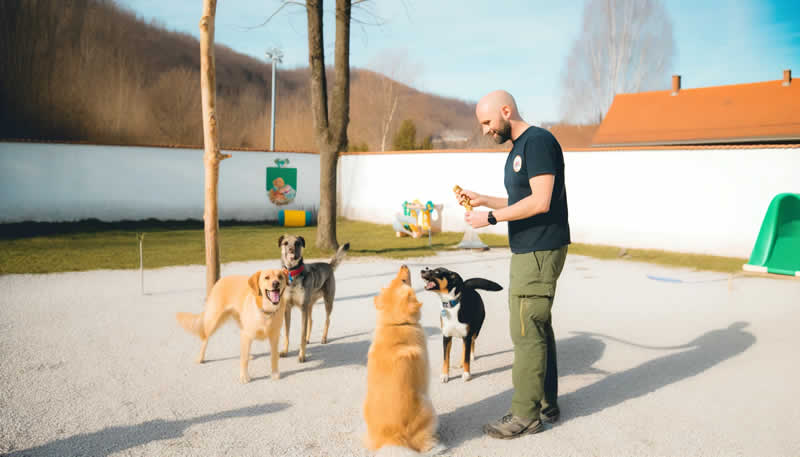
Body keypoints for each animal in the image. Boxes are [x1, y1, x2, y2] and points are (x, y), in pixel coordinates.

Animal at [278, 233, 346, 362]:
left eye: (297, 243)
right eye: (285, 243)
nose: (291, 250)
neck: (292, 273)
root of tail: (328, 265)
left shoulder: (303, 308)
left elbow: (302, 335)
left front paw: (302, 355)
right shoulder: (287, 309)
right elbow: (287, 333)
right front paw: (284, 351)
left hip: (327, 301)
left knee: (327, 320)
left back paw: (324, 338)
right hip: (309, 305)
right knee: (311, 320)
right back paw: (308, 339)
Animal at [366, 264, 440, 452]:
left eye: (396, 279)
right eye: (404, 280)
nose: (403, 265)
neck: (396, 324)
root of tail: (394, 438)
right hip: (429, 405)